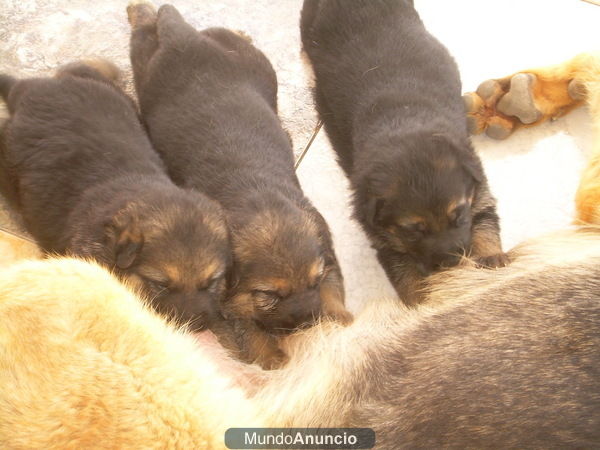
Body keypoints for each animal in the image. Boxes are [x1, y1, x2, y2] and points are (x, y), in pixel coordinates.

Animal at [127, 1, 352, 370]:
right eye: (269, 294)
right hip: (145, 67)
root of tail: (184, 40)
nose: (308, 323)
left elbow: (333, 291)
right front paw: (274, 360)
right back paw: (139, 12)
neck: (259, 195)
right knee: (145, 30)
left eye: (314, 281)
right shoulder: (220, 302)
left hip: (255, 65)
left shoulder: (327, 259)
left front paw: (342, 320)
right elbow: (248, 331)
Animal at [300, 0, 506, 306]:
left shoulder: (477, 190)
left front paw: (492, 258)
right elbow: (407, 278)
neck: (405, 127)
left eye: (458, 215)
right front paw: (422, 301)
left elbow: (485, 227)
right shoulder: (384, 238)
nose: (451, 261)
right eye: (414, 230)